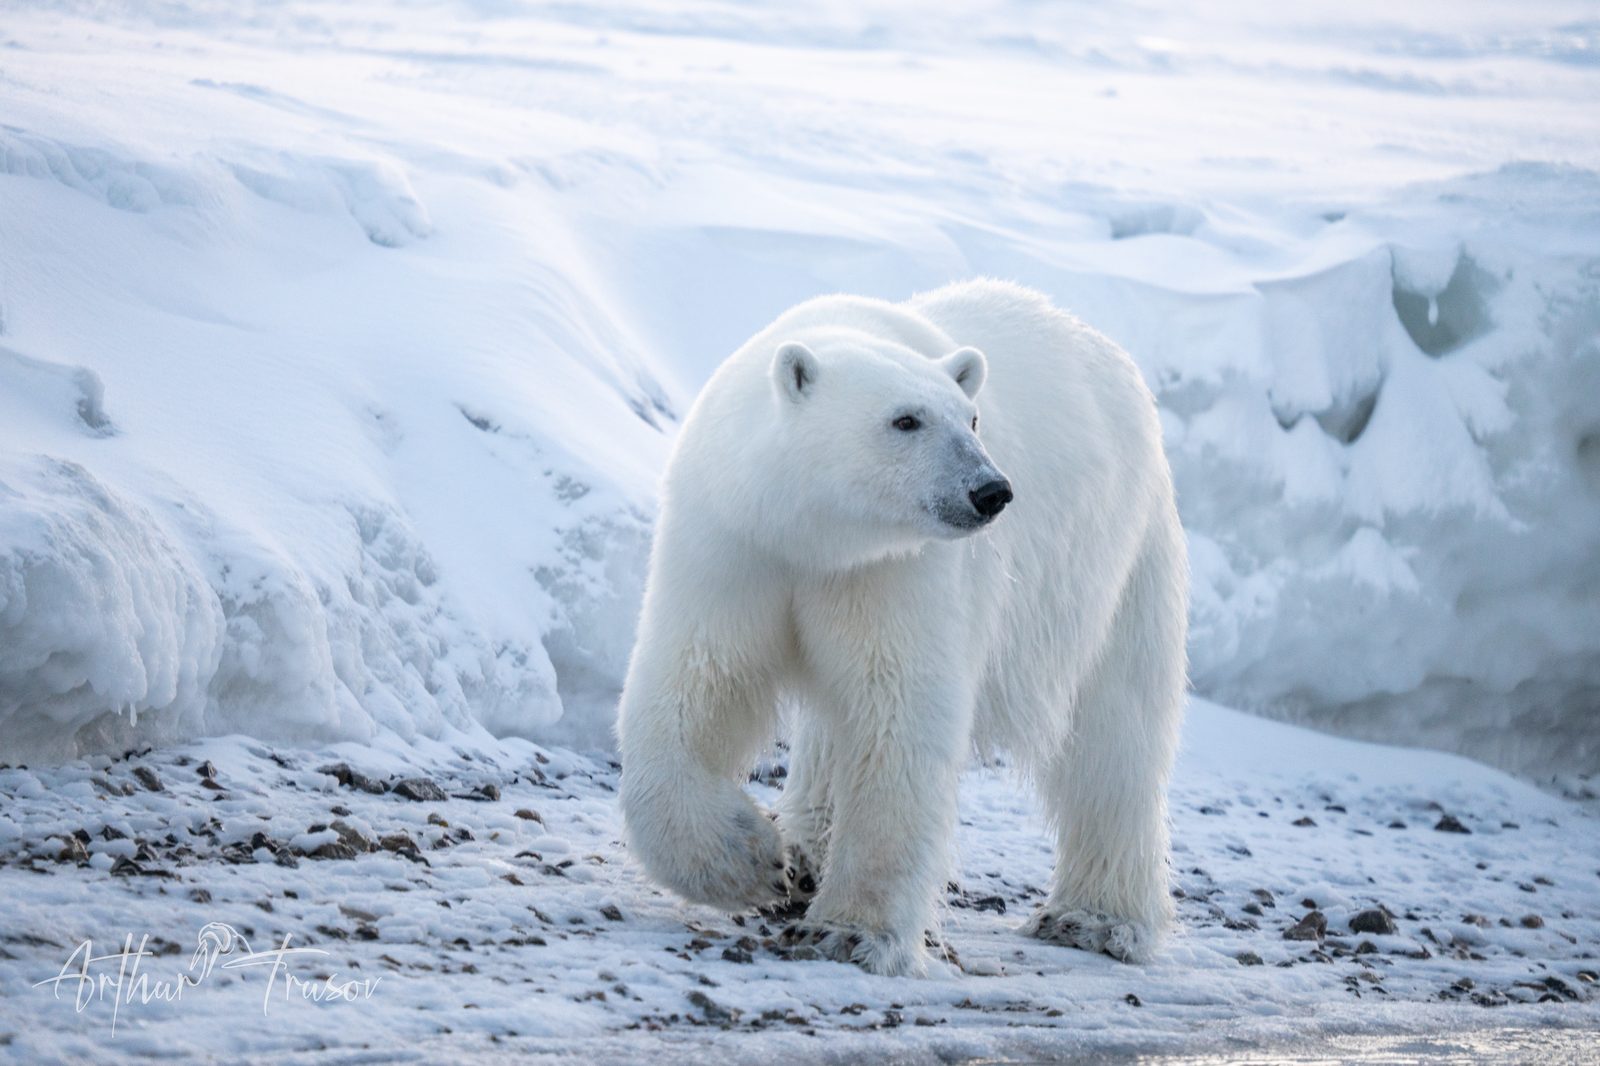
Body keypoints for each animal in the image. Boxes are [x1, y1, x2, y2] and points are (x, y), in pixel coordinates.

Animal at [616, 278, 1188, 976]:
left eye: (971, 419)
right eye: (905, 420)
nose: (991, 491)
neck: (815, 536)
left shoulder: (897, 570)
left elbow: (898, 713)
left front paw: (850, 932)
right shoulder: (735, 544)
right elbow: (695, 685)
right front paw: (751, 861)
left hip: (1114, 565)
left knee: (1116, 734)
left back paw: (1096, 920)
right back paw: (806, 853)